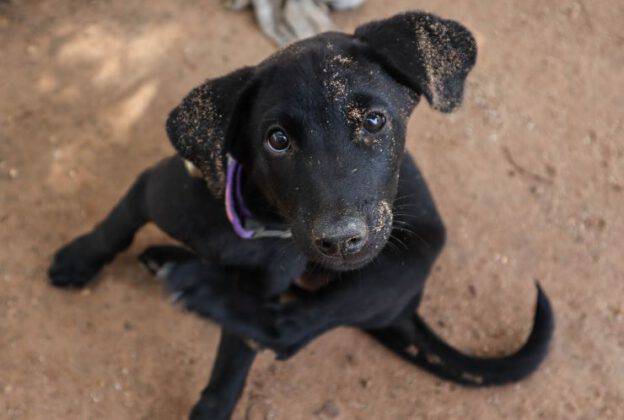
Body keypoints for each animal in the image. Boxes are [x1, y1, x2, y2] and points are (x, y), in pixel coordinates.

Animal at [50, 10, 556, 420]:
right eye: (277, 140)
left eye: (375, 121)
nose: (341, 239)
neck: (255, 225)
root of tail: (407, 309)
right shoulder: (153, 189)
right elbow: (113, 227)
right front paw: (77, 260)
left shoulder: (266, 289)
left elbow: (234, 362)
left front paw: (212, 405)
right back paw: (172, 260)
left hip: (393, 270)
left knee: (287, 329)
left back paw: (197, 283)